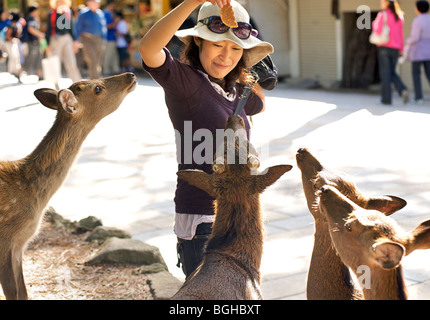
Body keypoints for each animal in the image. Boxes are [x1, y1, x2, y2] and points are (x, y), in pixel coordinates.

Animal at [0, 72, 137, 300]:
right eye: (97, 88)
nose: (131, 75)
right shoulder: (5, 239)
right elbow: (14, 292)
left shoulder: (20, 244)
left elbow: (23, 291)